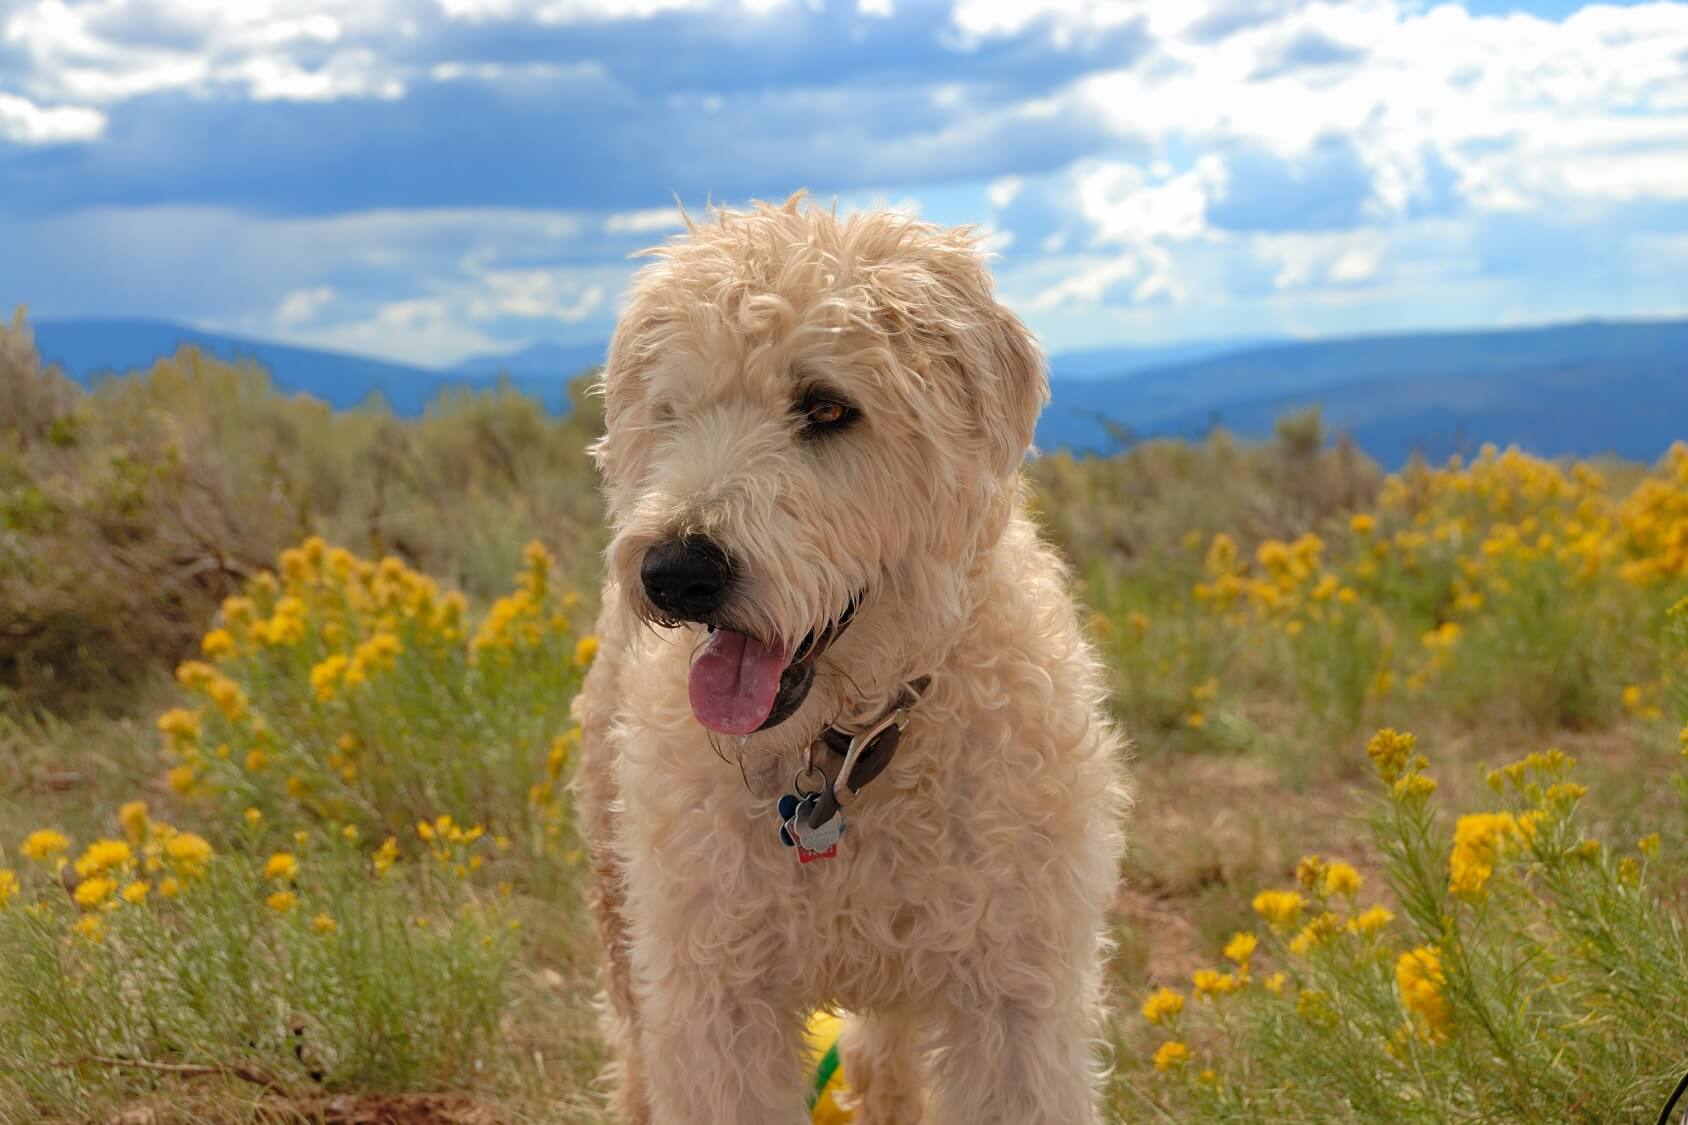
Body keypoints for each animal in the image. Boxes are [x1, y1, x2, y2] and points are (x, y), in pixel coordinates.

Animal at [573, 195, 1127, 1121]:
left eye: (828, 408)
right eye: (673, 412)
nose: (675, 571)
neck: (841, 759)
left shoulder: (1014, 998)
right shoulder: (714, 1001)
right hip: (622, 911)